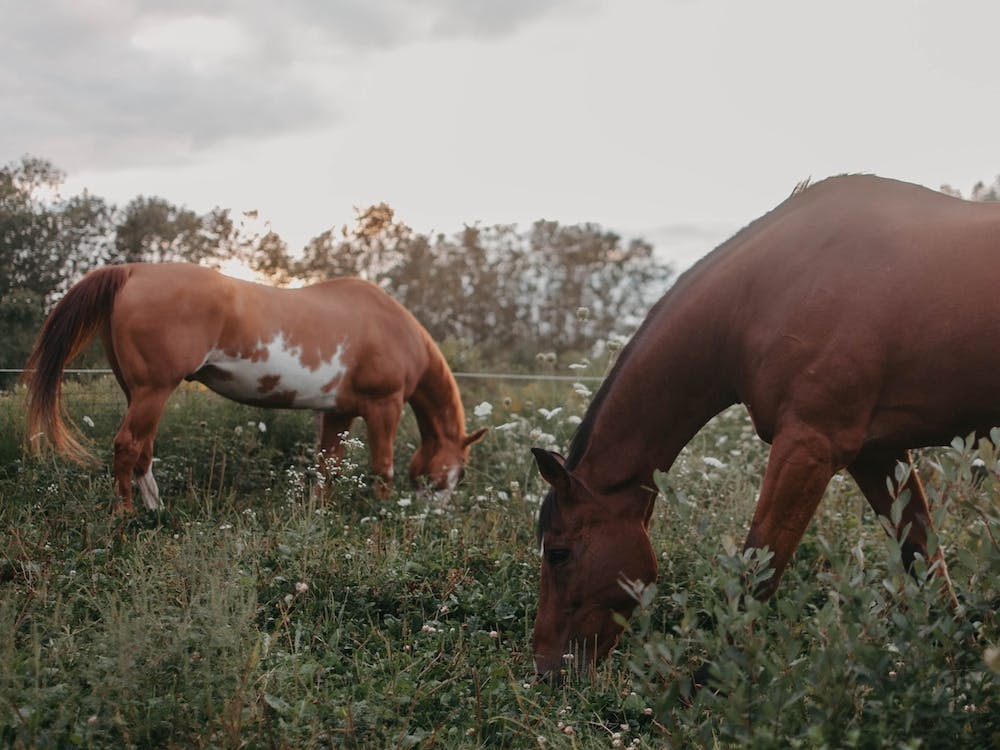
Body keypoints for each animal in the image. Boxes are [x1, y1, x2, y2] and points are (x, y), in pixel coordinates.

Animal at [22, 262, 486, 513]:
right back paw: (125, 517)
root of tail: (132, 270)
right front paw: (382, 515)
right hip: (154, 389)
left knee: (143, 451)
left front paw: (321, 514)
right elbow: (382, 468)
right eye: (457, 473)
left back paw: (156, 510)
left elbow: (327, 468)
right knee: (128, 447)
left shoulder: (337, 412)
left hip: (138, 391)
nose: (430, 517)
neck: (393, 328)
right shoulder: (383, 407)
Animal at [529, 174, 996, 677]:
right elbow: (923, 557)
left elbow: (757, 570)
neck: (763, 297)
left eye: (559, 553)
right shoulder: (877, 453)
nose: (546, 668)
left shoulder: (809, 446)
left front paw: (711, 683)